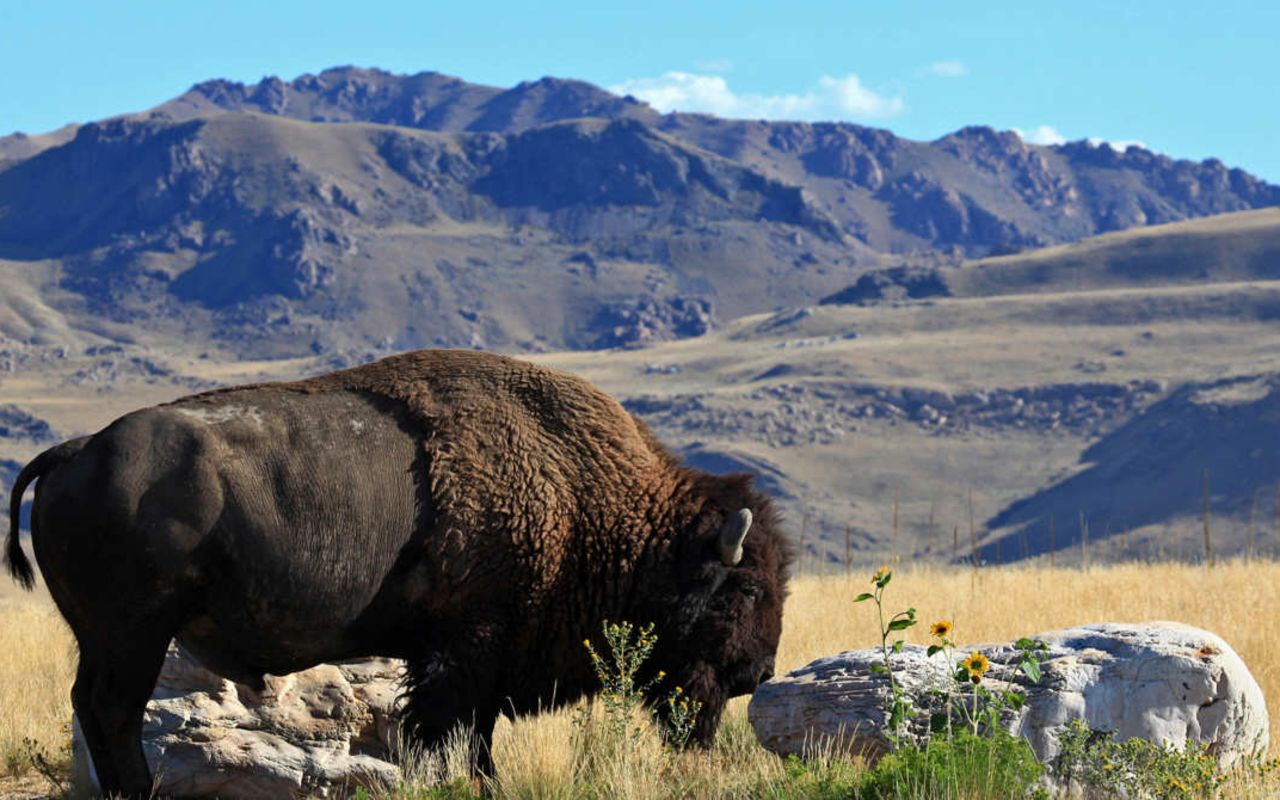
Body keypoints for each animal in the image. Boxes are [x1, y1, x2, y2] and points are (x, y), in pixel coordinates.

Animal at [5, 350, 788, 798]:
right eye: (744, 587)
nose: (757, 672)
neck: (587, 498)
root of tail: (77, 450)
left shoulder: (474, 661)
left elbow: (472, 737)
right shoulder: (466, 652)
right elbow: (454, 735)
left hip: (108, 639)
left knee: (96, 710)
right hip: (132, 635)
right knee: (114, 712)